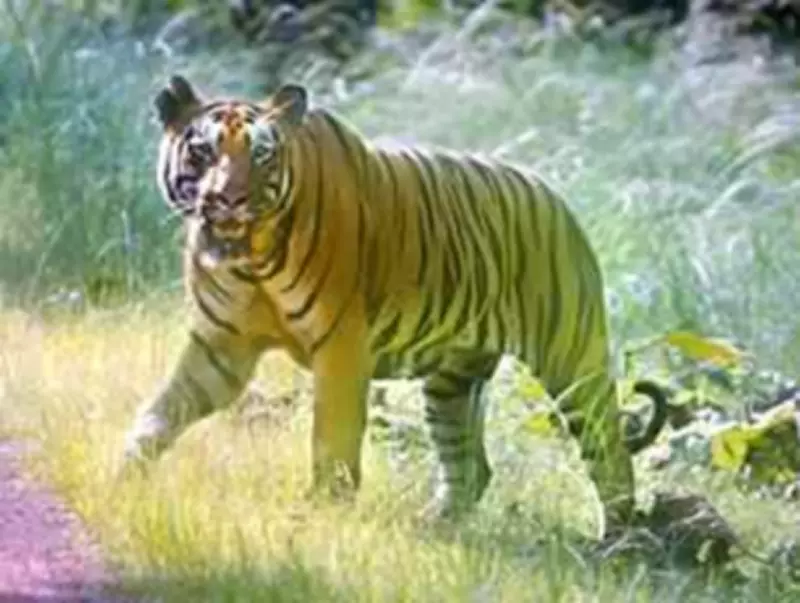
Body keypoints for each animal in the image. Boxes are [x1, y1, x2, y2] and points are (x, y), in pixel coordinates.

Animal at [121, 74, 669, 538]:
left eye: (260, 156)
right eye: (202, 151)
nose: (229, 199)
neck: (250, 260)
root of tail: (555, 195)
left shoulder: (341, 346)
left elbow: (332, 438)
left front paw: (321, 512)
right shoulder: (221, 347)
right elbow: (161, 411)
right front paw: (122, 476)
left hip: (571, 357)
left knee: (609, 450)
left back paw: (615, 542)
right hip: (452, 383)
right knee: (471, 466)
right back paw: (434, 527)